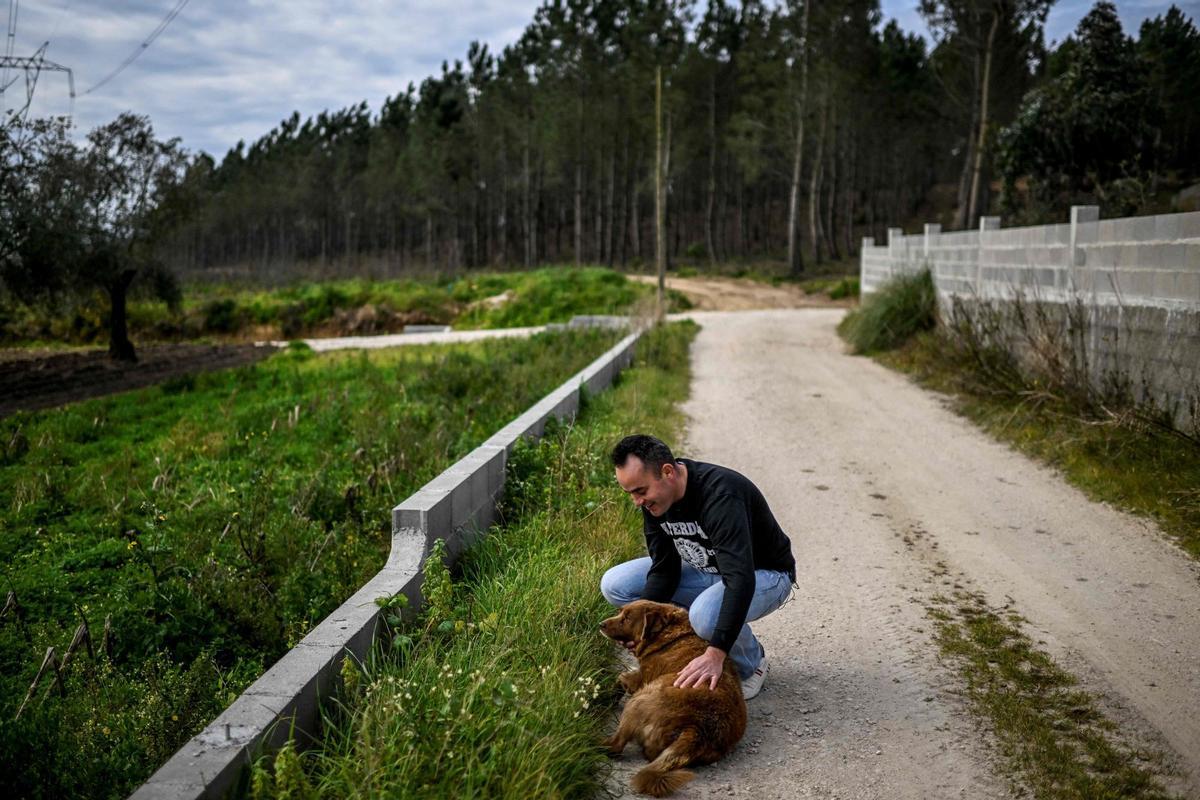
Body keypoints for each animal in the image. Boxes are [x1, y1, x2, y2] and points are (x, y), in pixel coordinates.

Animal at [597, 599, 744, 796]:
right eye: (620, 612)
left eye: (627, 618)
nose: (601, 624)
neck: (667, 632)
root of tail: (697, 728)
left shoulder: (641, 680)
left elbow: (621, 677)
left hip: (639, 700)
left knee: (615, 746)